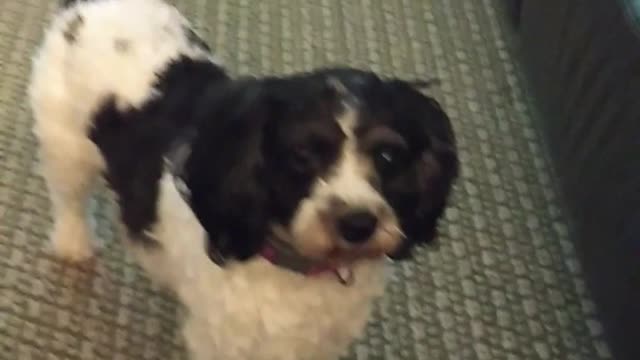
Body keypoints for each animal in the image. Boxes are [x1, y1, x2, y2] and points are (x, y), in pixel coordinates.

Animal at [30, 0, 460, 358]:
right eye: (302, 155)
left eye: (388, 156)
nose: (358, 224)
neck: (296, 267)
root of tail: (87, 6)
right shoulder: (226, 339)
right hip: (66, 145)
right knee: (68, 199)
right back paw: (74, 244)